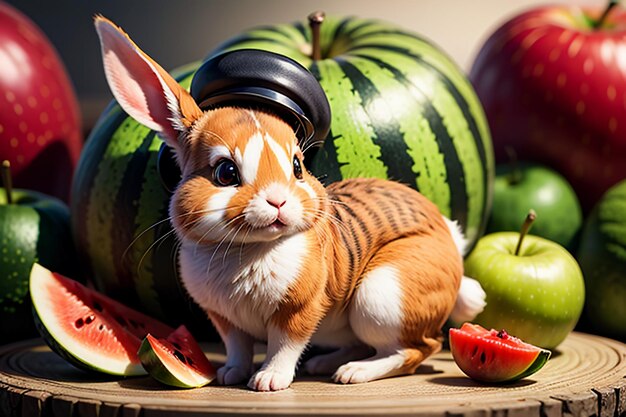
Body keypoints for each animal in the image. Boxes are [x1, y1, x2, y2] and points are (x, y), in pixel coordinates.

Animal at [92, 14, 486, 388]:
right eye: (225, 172)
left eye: (297, 165)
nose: (278, 201)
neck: (245, 250)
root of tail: (450, 240)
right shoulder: (225, 320)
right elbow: (237, 347)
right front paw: (230, 374)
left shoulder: (298, 311)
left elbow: (284, 346)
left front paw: (268, 381)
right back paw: (324, 364)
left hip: (380, 296)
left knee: (419, 348)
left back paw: (353, 373)